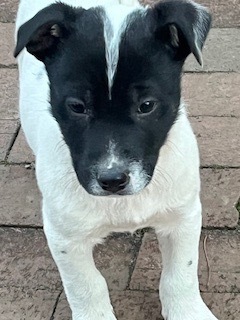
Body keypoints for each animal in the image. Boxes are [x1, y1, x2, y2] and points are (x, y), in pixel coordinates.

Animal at [14, 0, 218, 320]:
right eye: (77, 106)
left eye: (146, 105)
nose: (112, 180)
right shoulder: (65, 236)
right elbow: (86, 286)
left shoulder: (182, 216)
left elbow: (181, 274)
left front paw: (188, 311)